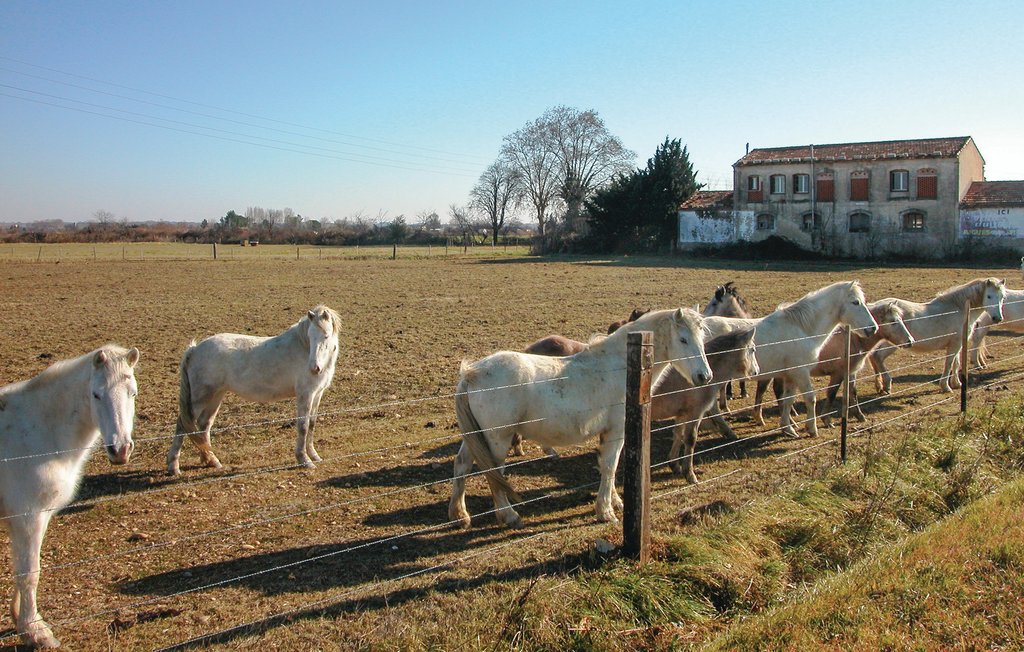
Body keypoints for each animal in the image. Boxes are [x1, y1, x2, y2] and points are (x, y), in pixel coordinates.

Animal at [0, 345, 138, 646]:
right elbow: (30, 572)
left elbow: (23, 567)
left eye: (132, 393)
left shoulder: (29, 519)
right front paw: (36, 631)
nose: (120, 449)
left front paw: (20, 620)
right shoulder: (28, 517)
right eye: (96, 394)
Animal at [167, 305, 342, 472]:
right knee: (182, 425)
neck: (302, 348)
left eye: (326, 336)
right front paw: (304, 460)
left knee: (204, 425)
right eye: (310, 337)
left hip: (216, 395)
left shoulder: (317, 394)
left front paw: (315, 456)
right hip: (200, 398)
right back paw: (174, 466)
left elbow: (311, 424)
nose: (314, 368)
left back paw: (211, 461)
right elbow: (303, 427)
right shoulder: (305, 394)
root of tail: (194, 350)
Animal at [448, 307, 712, 528]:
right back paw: (509, 515)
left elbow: (607, 467)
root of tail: (472, 373)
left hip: (477, 436)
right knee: (493, 472)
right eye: (683, 339)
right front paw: (606, 512)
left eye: (701, 338)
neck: (621, 367)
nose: (704, 376)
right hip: (497, 438)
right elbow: (610, 465)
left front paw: (614, 502)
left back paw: (460, 515)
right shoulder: (616, 431)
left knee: (462, 465)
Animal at [708, 280, 876, 438]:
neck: (802, 329)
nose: (873, 328)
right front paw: (812, 429)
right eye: (855, 302)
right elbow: (810, 398)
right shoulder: (801, 373)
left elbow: (788, 399)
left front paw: (787, 429)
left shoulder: (790, 376)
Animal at [868, 276, 1003, 390]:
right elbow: (949, 363)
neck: (958, 309)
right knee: (877, 356)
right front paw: (946, 386)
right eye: (989, 296)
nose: (997, 318)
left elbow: (956, 363)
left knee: (874, 357)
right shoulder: (955, 344)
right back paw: (887, 384)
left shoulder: (957, 343)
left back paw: (880, 386)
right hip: (894, 342)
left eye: (1002, 297)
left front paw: (957, 384)